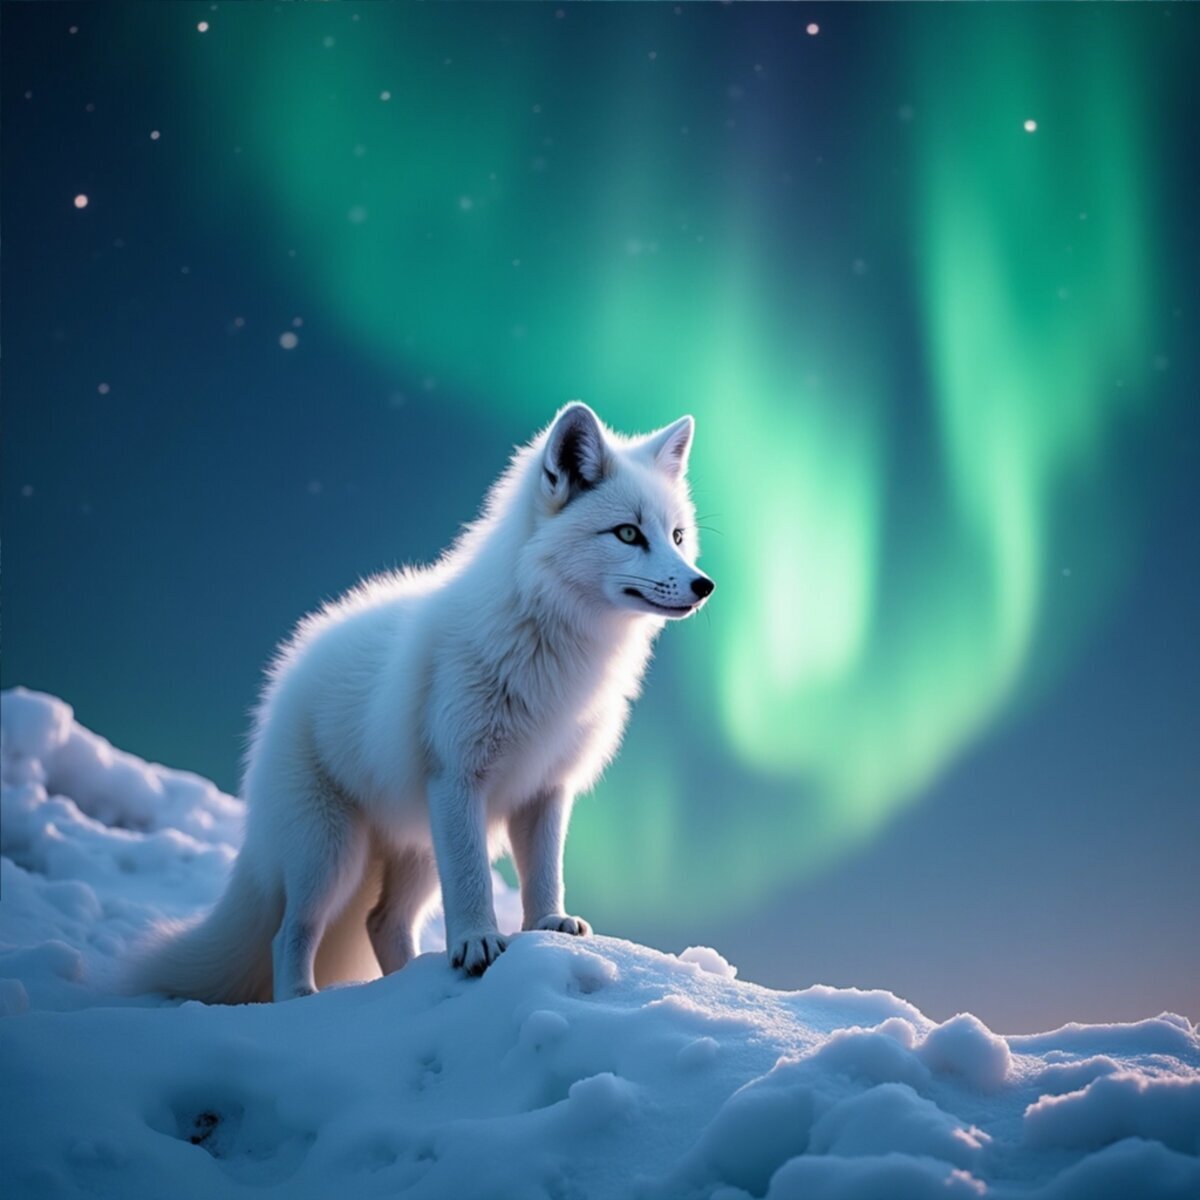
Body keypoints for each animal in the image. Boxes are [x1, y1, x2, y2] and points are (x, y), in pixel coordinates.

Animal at [129, 403, 713, 1002]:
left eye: (676, 535)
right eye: (627, 533)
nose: (704, 585)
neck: (549, 645)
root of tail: (284, 679)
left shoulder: (546, 788)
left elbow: (545, 874)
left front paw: (548, 926)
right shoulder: (457, 775)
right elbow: (474, 884)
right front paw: (478, 942)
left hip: (417, 850)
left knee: (381, 921)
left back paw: (407, 986)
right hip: (332, 854)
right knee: (290, 931)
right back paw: (301, 999)